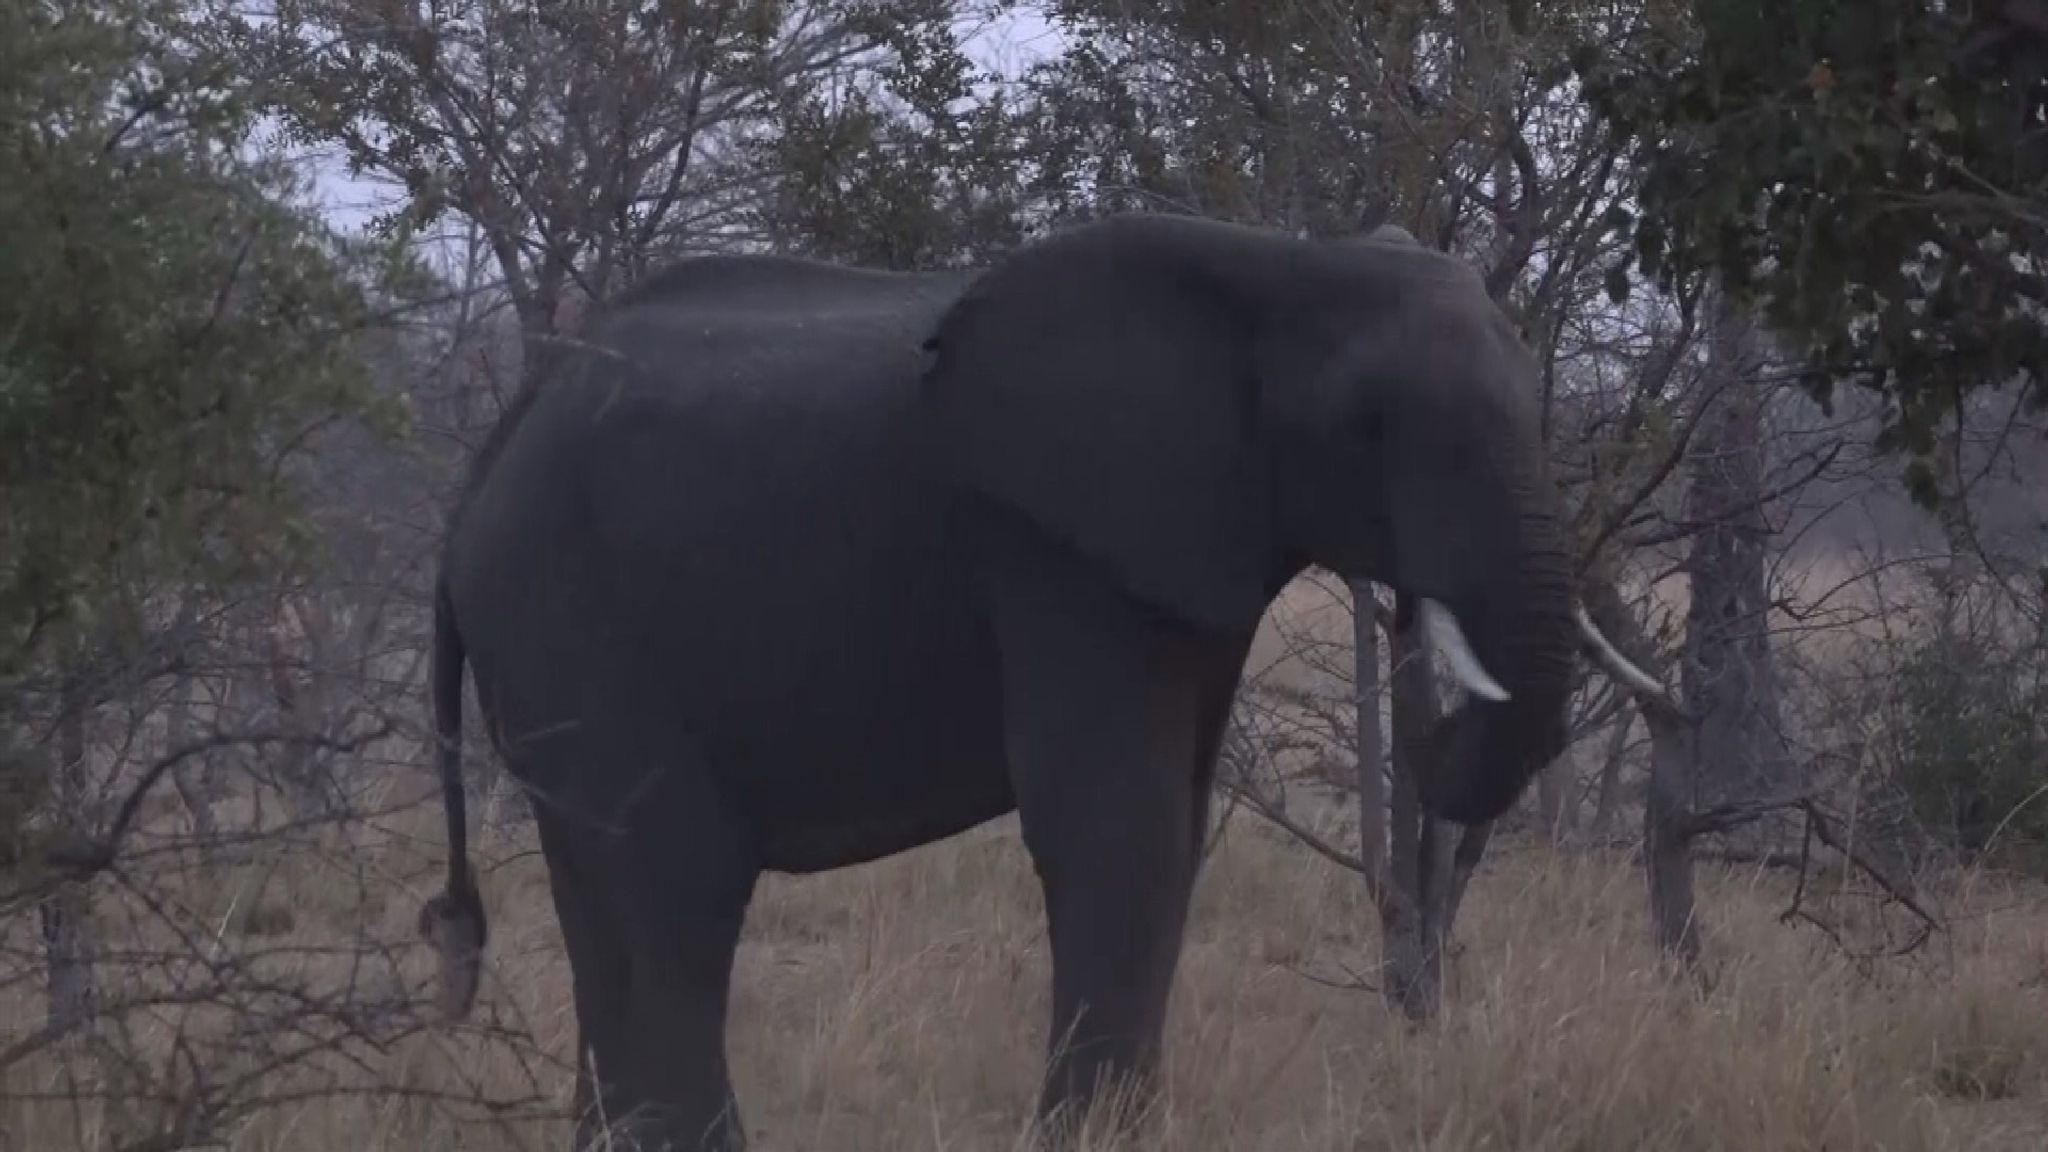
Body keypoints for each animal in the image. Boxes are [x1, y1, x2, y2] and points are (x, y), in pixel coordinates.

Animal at [416, 212, 1659, 1150]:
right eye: (1369, 427)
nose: (1438, 734)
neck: (1283, 262)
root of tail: (485, 461)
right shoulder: (1054, 551)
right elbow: (1116, 827)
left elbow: (1174, 828)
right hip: (571, 612)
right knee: (676, 880)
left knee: (603, 890)